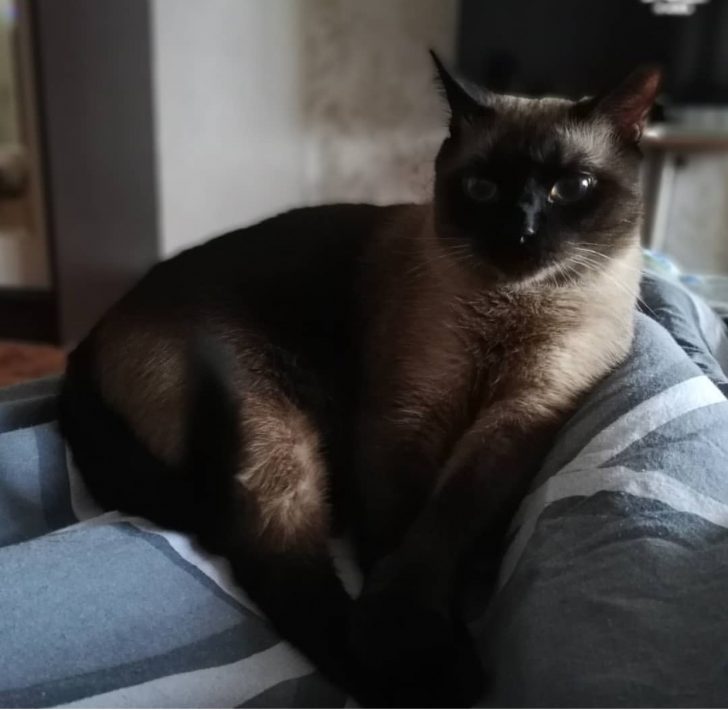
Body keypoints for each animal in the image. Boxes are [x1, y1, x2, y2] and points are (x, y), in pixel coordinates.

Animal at [59, 54, 656, 708]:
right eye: (482, 189)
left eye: (570, 189)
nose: (519, 234)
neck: (514, 308)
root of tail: (92, 334)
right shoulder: (406, 418)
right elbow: (400, 534)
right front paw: (402, 636)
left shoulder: (520, 421)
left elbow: (446, 520)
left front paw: (420, 619)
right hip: (277, 429)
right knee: (277, 562)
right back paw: (431, 677)